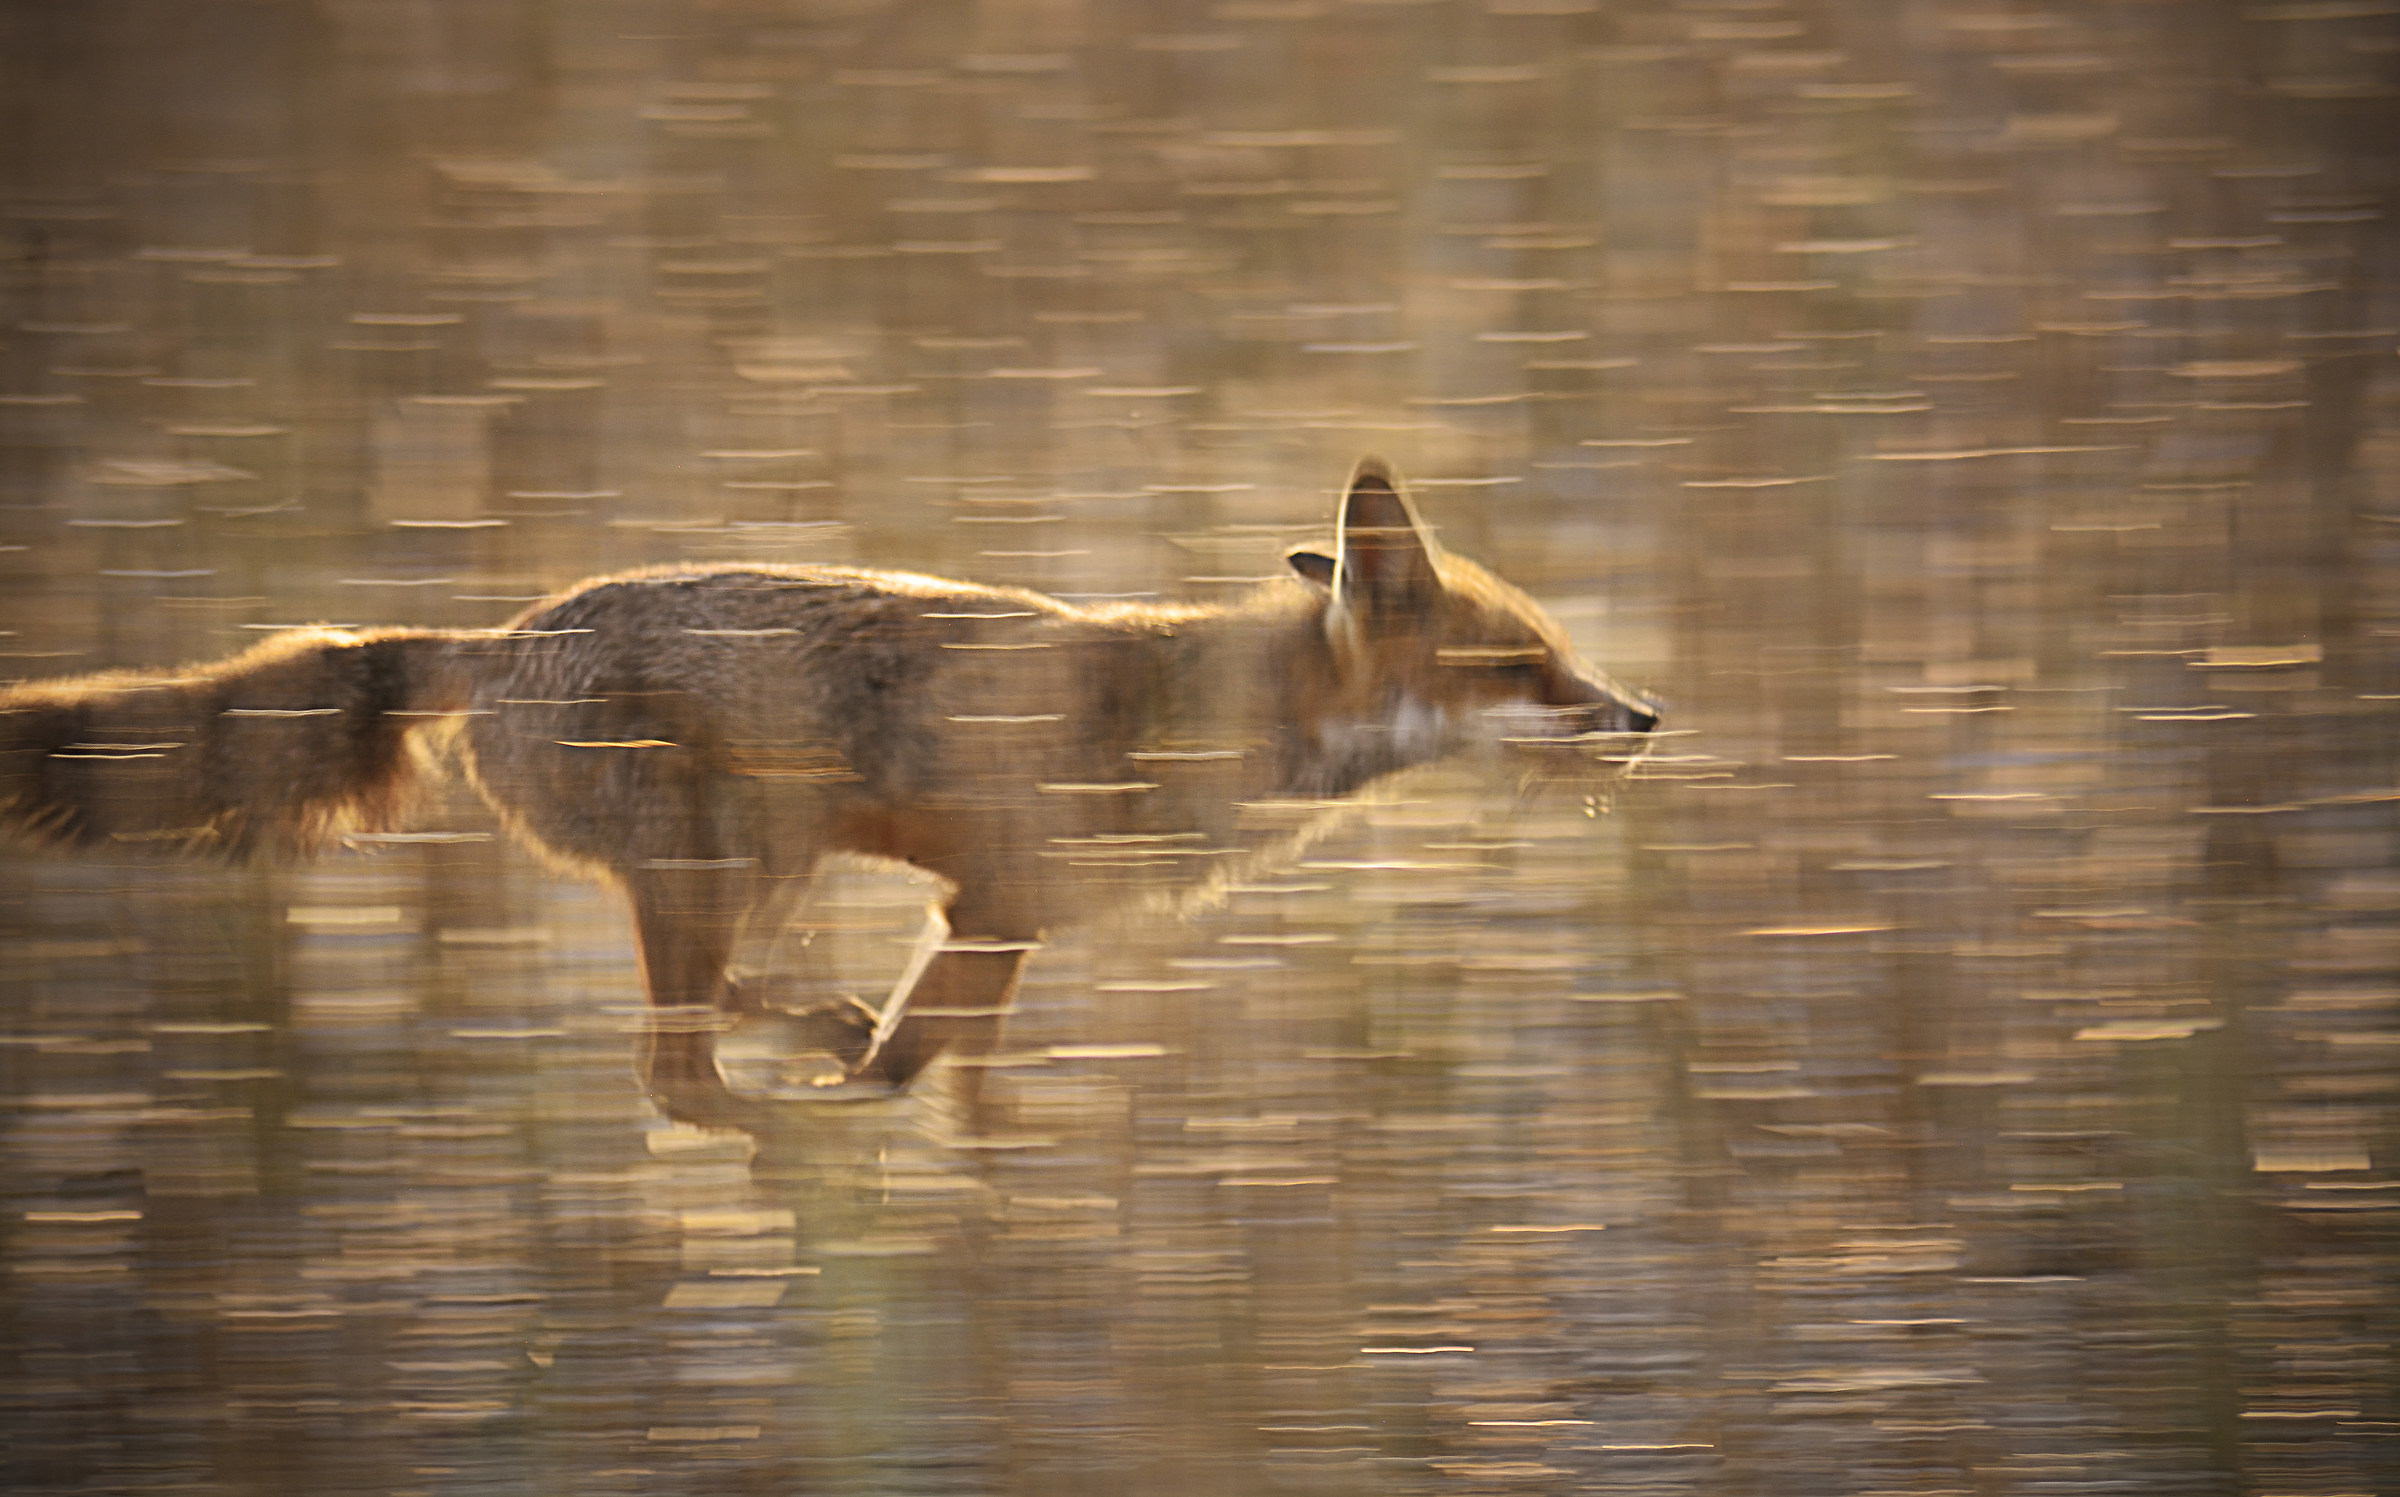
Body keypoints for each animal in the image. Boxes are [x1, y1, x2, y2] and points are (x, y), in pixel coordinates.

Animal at [0, 460, 1656, 1131]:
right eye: (1525, 667)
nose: (1645, 718)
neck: (1208, 721)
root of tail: (499, 636)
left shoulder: (998, 919)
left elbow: (957, 1074)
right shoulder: (992, 905)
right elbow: (917, 1072)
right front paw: (899, 1146)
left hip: (757, 863)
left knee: (724, 1013)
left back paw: (802, 1038)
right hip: (707, 865)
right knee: (675, 1066)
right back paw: (785, 1111)